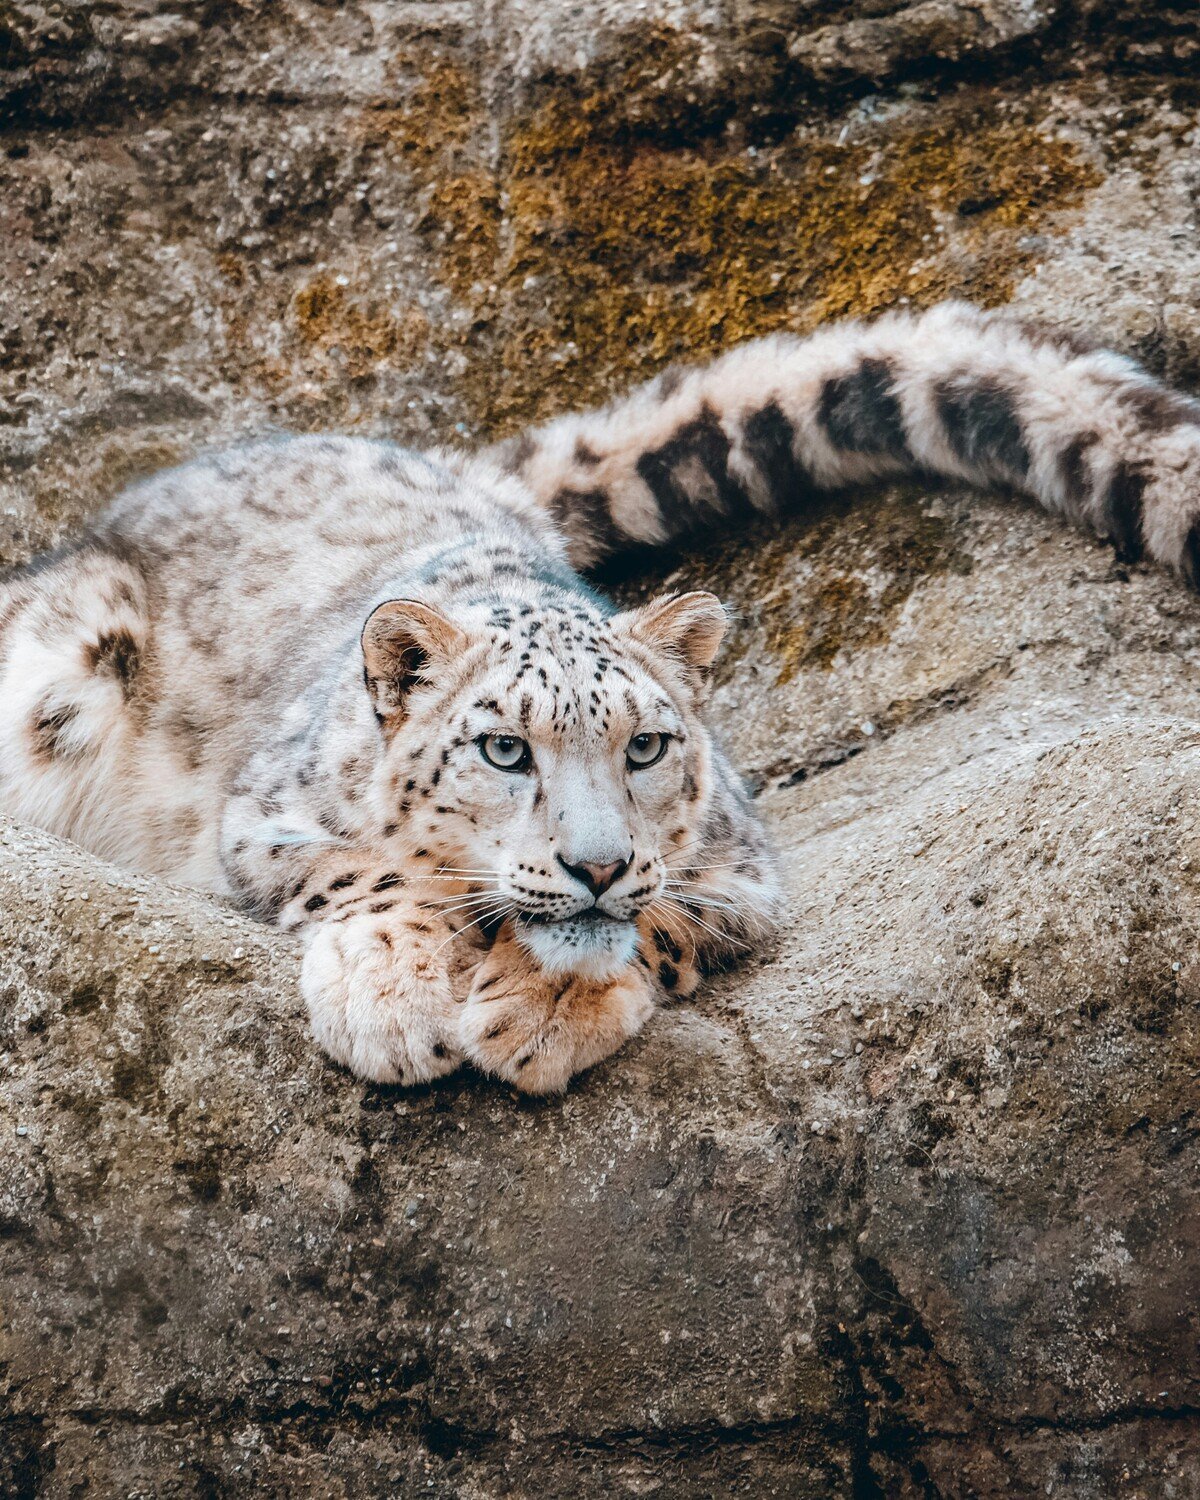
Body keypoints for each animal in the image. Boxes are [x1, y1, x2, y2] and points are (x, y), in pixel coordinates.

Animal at [3, 302, 1199, 1091]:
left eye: (647, 746)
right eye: (503, 750)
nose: (597, 863)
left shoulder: (746, 875)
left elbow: (660, 922)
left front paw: (546, 1009)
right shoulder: (260, 823)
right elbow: (385, 874)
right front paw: (392, 998)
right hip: (59, 655)